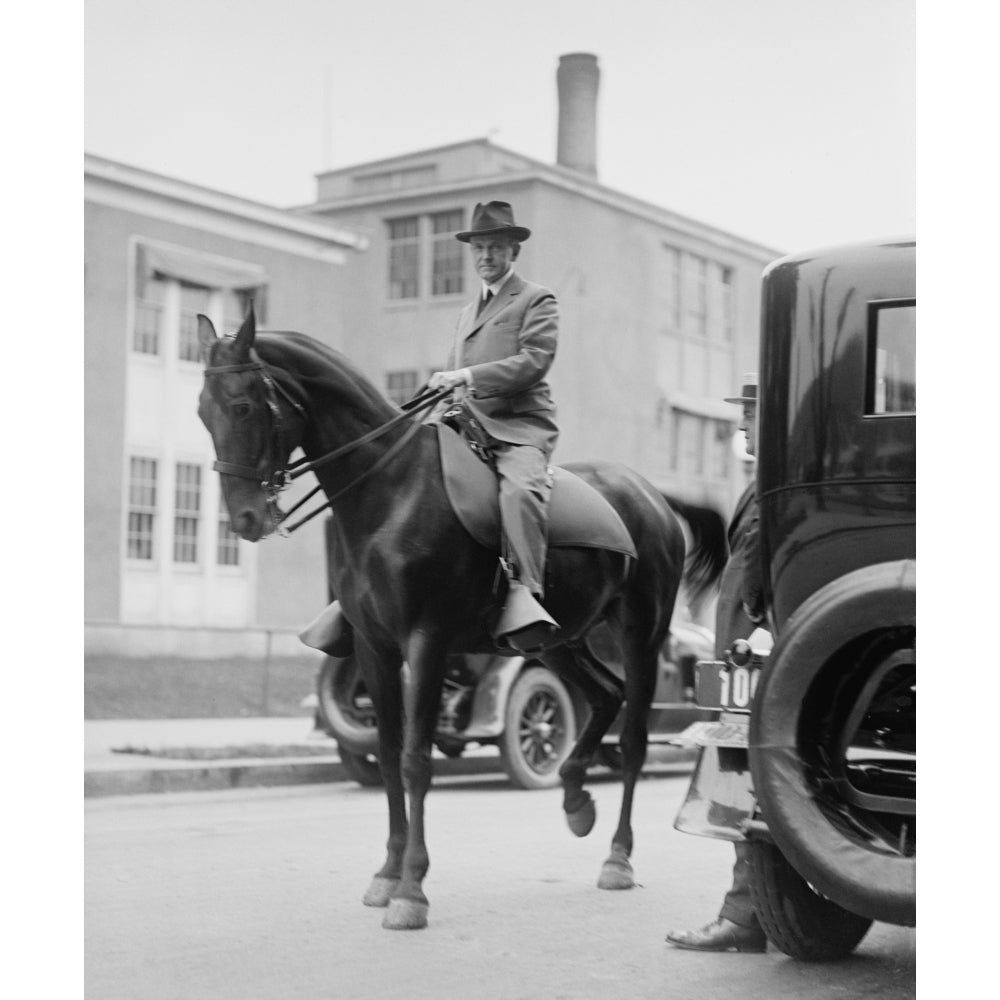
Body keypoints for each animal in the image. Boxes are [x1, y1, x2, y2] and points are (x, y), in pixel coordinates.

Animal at [197, 310, 728, 928]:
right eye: (202, 411)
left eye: (242, 406)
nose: (245, 519)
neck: (392, 491)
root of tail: (651, 494)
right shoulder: (375, 648)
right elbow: (387, 755)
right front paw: (387, 874)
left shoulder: (426, 641)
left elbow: (414, 760)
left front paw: (411, 889)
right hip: (554, 642)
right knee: (604, 697)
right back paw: (574, 795)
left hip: (642, 632)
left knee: (637, 737)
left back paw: (618, 856)